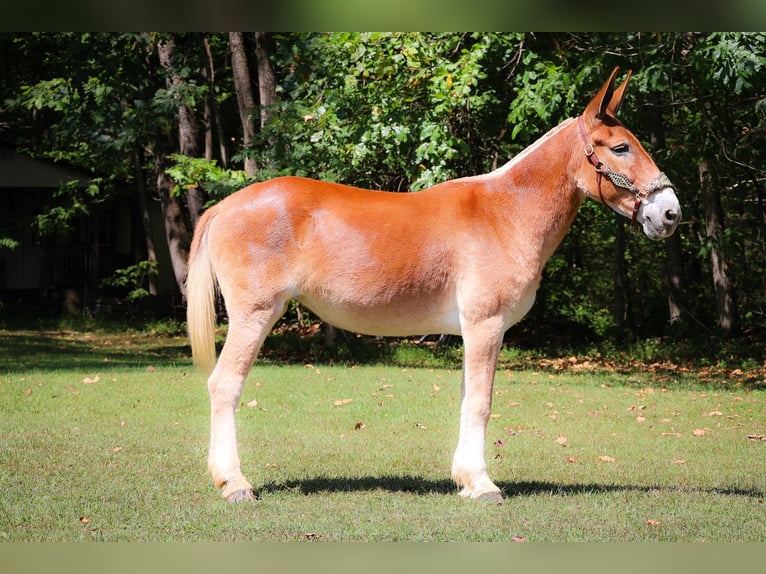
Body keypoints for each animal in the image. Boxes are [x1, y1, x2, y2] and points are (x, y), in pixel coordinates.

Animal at [186, 67, 681, 503]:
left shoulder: (474, 331)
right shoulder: (486, 324)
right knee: (224, 386)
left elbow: (467, 400)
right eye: (621, 148)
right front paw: (482, 485)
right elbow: (481, 402)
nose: (670, 212)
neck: (505, 212)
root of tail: (227, 205)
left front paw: (464, 478)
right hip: (255, 316)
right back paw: (235, 483)